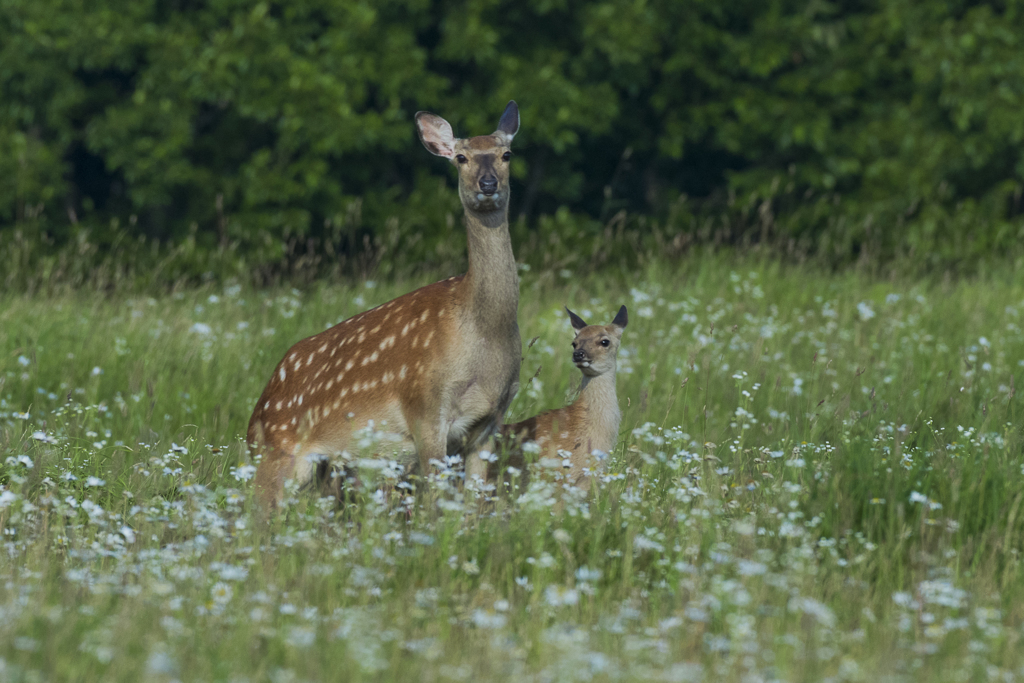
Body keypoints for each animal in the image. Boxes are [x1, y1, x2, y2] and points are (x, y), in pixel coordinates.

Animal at [246, 101, 520, 507]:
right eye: (461, 158)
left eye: (506, 154)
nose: (488, 184)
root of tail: (254, 416)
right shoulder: (424, 407)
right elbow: (434, 503)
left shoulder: (489, 423)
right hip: (276, 452)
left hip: (327, 470)